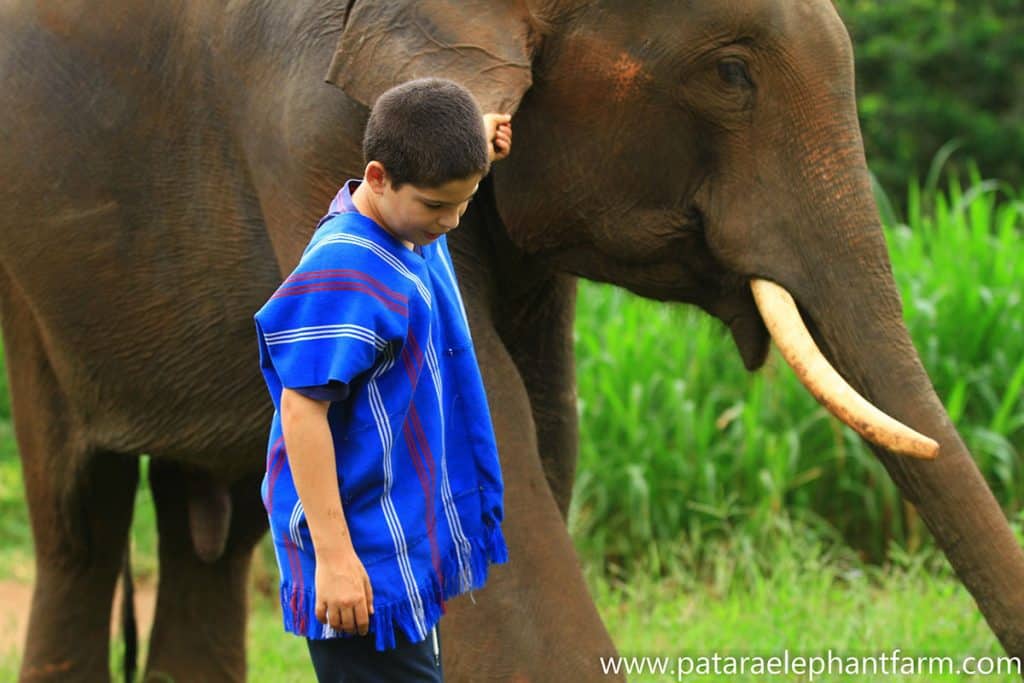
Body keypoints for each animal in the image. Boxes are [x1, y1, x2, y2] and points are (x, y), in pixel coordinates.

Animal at [2, 0, 1024, 679]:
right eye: (731, 73)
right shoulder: (307, 124)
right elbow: (492, 468)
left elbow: (537, 439)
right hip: (31, 294)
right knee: (81, 522)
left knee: (213, 532)